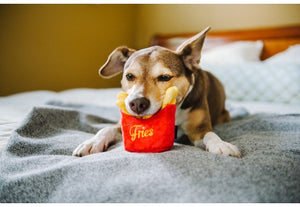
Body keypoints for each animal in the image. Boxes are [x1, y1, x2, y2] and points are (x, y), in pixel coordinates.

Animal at [72, 26, 241, 158]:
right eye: (129, 76)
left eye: (164, 77)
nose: (137, 104)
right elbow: (106, 128)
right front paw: (92, 142)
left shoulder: (198, 129)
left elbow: (210, 134)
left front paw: (221, 144)